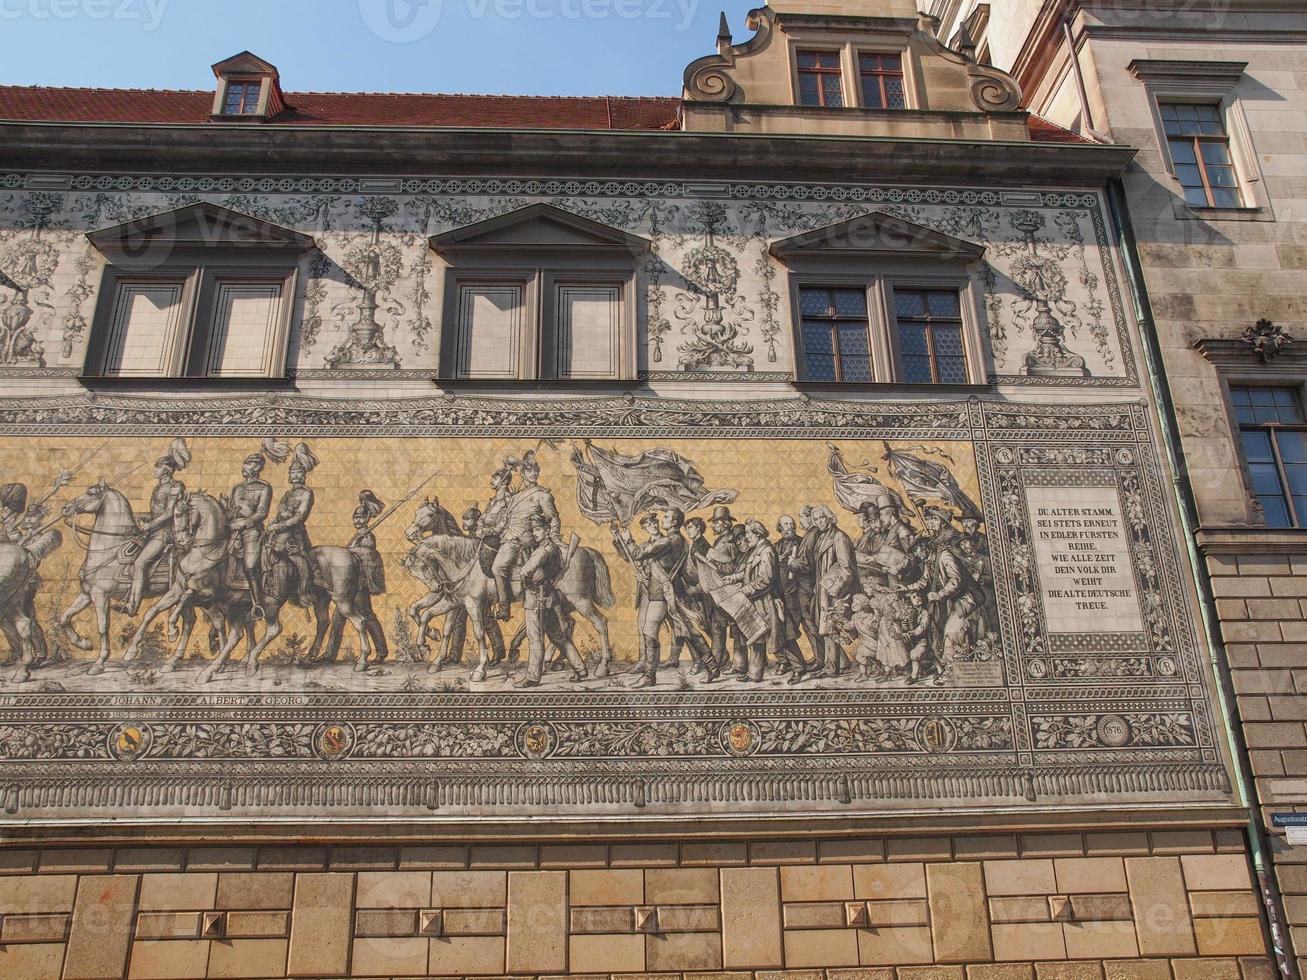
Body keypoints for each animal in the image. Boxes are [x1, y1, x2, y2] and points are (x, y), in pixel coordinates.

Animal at [405, 501, 614, 679]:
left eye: (429, 514)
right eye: (415, 512)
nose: (409, 533)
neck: (466, 562)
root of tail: (585, 550)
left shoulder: (472, 604)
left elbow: (476, 632)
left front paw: (479, 669)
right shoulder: (452, 601)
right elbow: (425, 615)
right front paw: (426, 648)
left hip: (580, 600)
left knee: (600, 622)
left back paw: (602, 667)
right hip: (563, 602)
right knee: (566, 625)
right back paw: (550, 661)